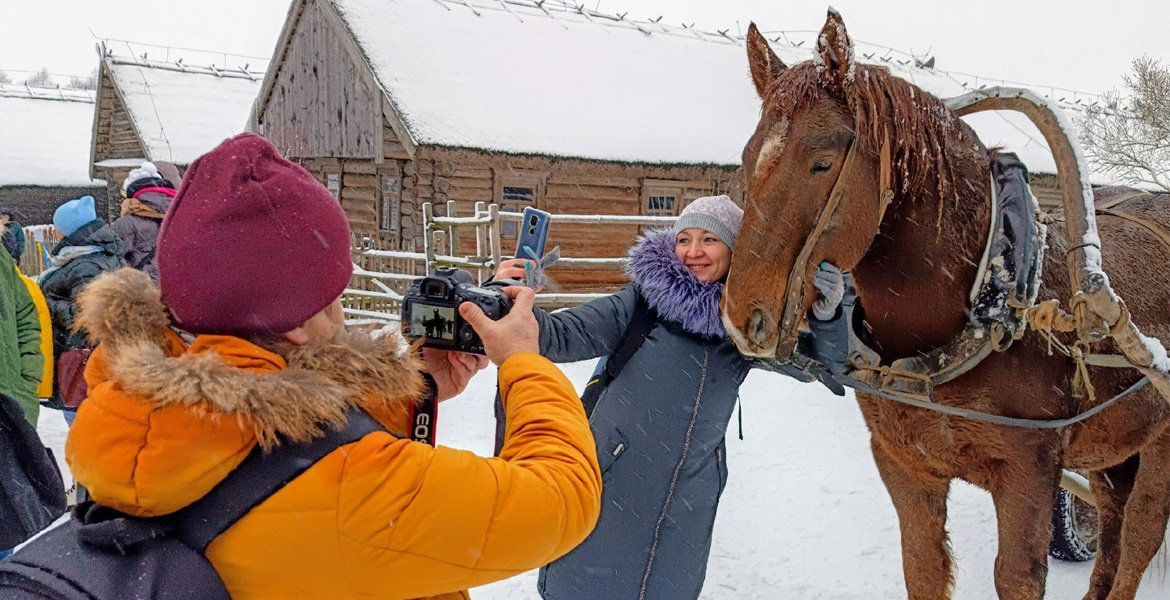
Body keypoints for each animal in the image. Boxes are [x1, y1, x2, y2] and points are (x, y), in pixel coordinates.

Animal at [725, 9, 1170, 598]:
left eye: (822, 161)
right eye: (749, 156)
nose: (740, 315)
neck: (993, 293)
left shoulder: (1029, 471)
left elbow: (1017, 576)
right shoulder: (904, 465)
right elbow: (923, 565)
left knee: (1141, 532)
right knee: (1114, 523)